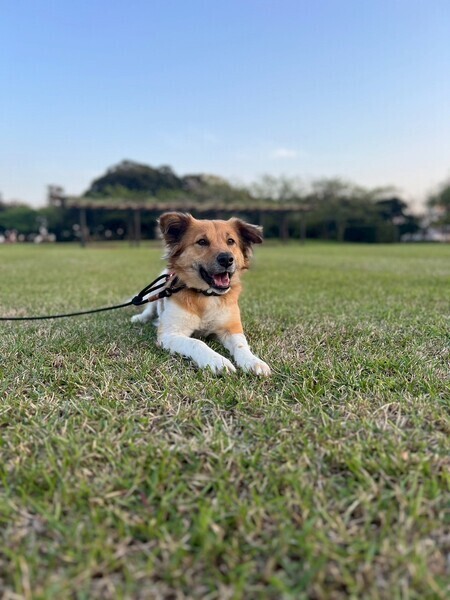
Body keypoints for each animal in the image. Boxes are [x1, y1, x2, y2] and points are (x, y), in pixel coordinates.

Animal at [131, 212, 271, 375]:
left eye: (231, 241)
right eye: (202, 241)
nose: (227, 259)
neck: (206, 295)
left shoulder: (231, 328)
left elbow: (242, 345)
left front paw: (253, 361)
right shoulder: (169, 334)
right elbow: (196, 342)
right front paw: (218, 361)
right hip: (156, 291)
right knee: (149, 309)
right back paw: (139, 318)